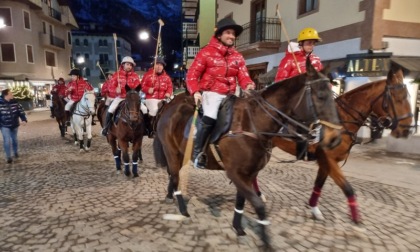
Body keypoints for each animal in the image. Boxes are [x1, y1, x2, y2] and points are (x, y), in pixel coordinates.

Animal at [153, 58, 342, 247]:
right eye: (320, 96)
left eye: (333, 95)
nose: (335, 139)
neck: (253, 124)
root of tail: (169, 106)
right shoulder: (235, 173)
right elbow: (258, 206)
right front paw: (265, 241)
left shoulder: (248, 174)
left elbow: (241, 201)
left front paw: (238, 228)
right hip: (171, 152)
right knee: (175, 176)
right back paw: (182, 210)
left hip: (182, 154)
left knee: (173, 175)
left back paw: (171, 196)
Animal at [270, 67, 412, 224]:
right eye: (397, 98)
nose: (407, 129)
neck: (341, 121)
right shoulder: (328, 160)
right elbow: (348, 188)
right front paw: (356, 218)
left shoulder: (326, 162)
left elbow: (318, 185)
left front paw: (314, 209)